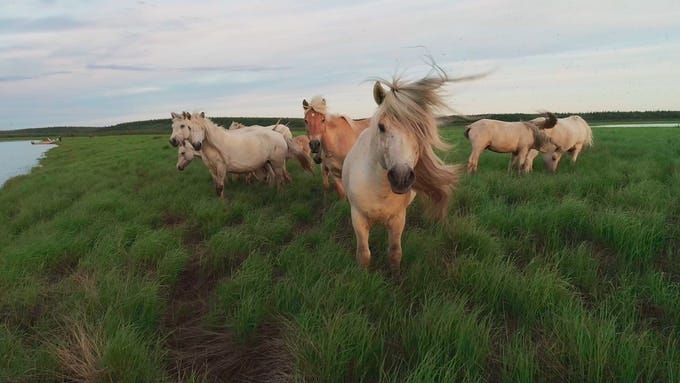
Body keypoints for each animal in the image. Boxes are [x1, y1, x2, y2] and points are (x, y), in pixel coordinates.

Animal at [342, 70, 464, 272]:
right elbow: (364, 255)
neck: (380, 190)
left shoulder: (398, 219)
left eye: (420, 129)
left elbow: (394, 252)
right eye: (381, 126)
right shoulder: (358, 218)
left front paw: (395, 274)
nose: (401, 177)